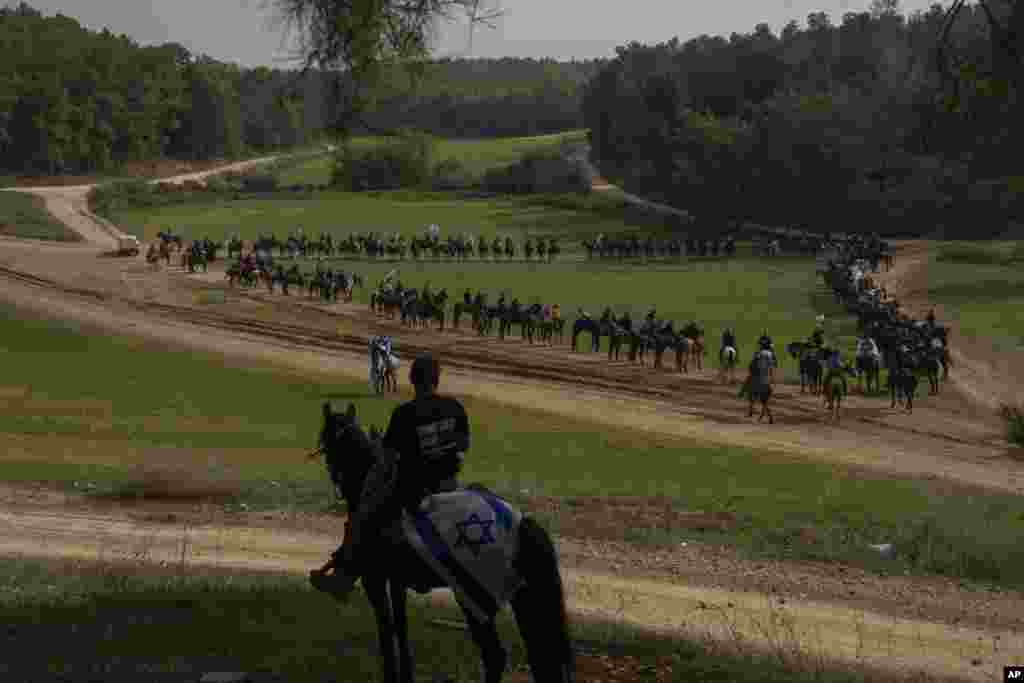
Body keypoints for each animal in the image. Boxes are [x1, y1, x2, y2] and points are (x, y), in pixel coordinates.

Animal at [311, 401, 577, 683]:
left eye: (325, 438)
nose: (334, 475)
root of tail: (523, 525)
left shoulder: (375, 580)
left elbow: (386, 629)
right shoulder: (396, 582)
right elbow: (400, 627)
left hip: (474, 600)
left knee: (495, 656)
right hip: (524, 600)